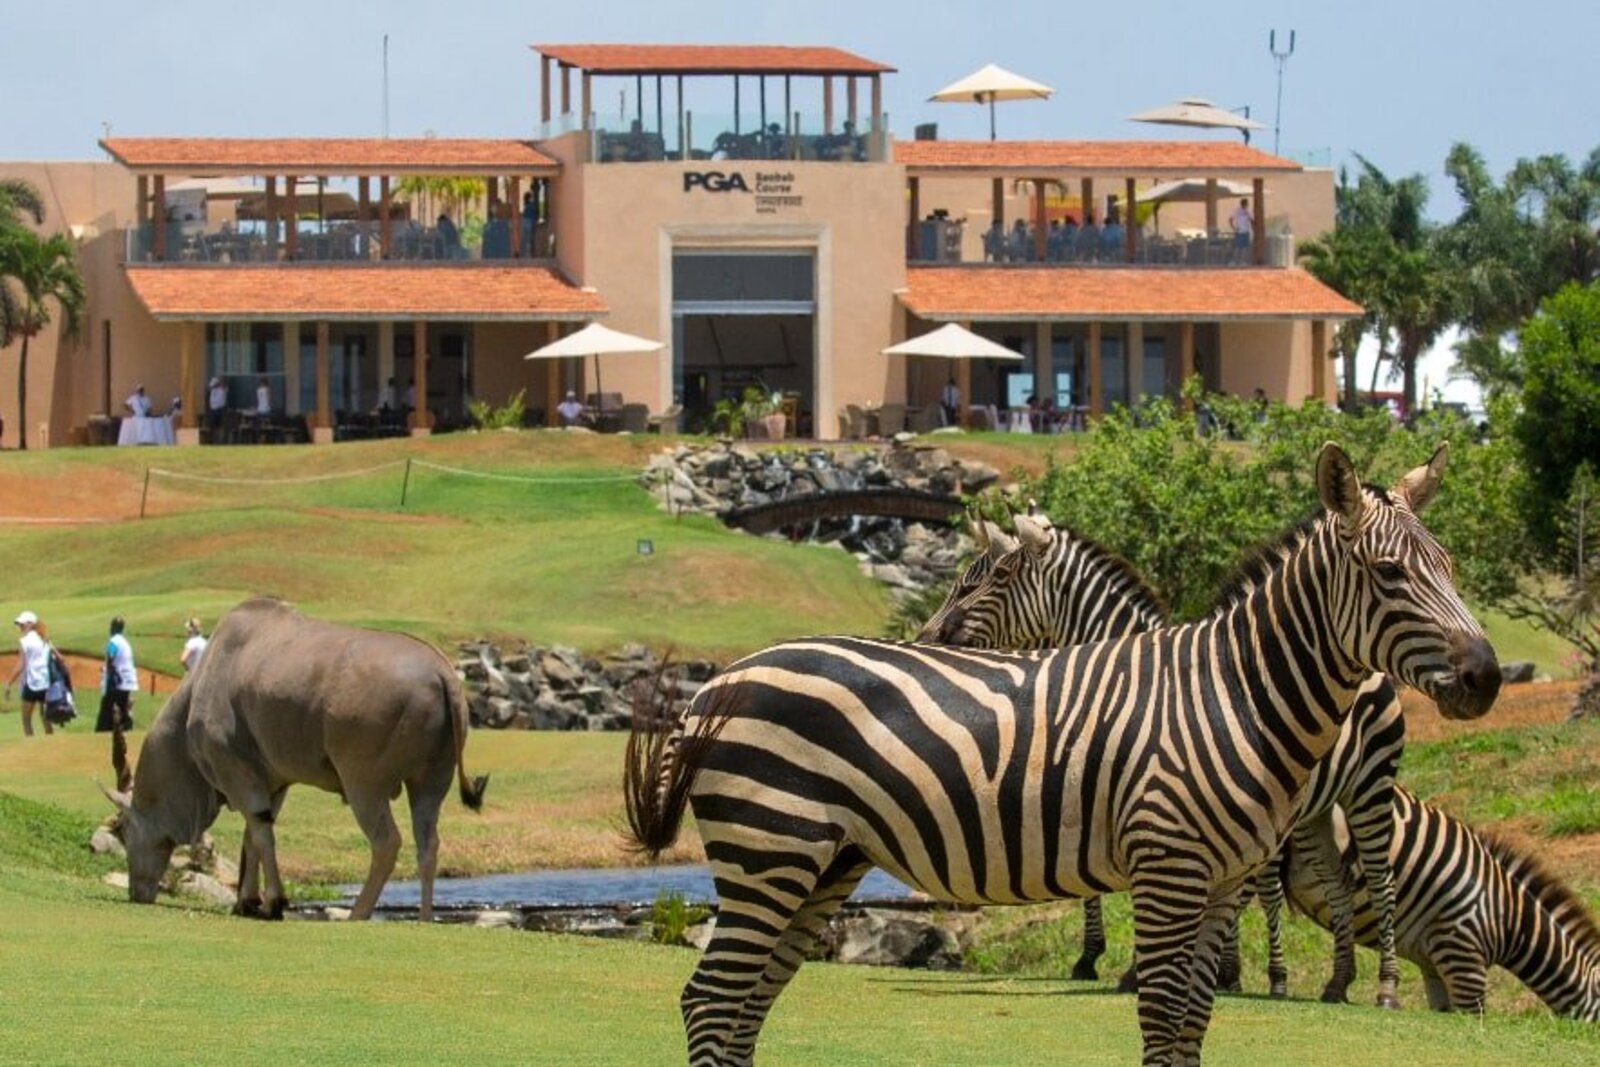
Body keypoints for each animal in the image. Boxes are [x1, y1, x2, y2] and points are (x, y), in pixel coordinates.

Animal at [921, 511, 1408, 1007]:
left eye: (993, 577)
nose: (929, 635)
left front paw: (1133, 969)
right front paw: (1100, 959)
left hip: (1370, 785)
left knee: (1379, 877)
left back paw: (1382, 987)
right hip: (1316, 811)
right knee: (1336, 882)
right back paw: (1336, 981)